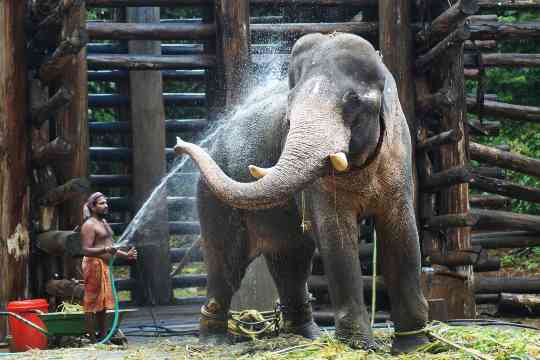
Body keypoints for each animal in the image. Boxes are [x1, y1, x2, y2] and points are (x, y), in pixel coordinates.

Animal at [176, 32, 430, 352]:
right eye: (289, 110)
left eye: (354, 101)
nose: (178, 144)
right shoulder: (320, 188)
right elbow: (336, 236)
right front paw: (359, 346)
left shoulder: (398, 157)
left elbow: (403, 235)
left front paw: (416, 346)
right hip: (212, 199)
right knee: (227, 265)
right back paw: (214, 341)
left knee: (291, 260)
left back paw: (306, 335)